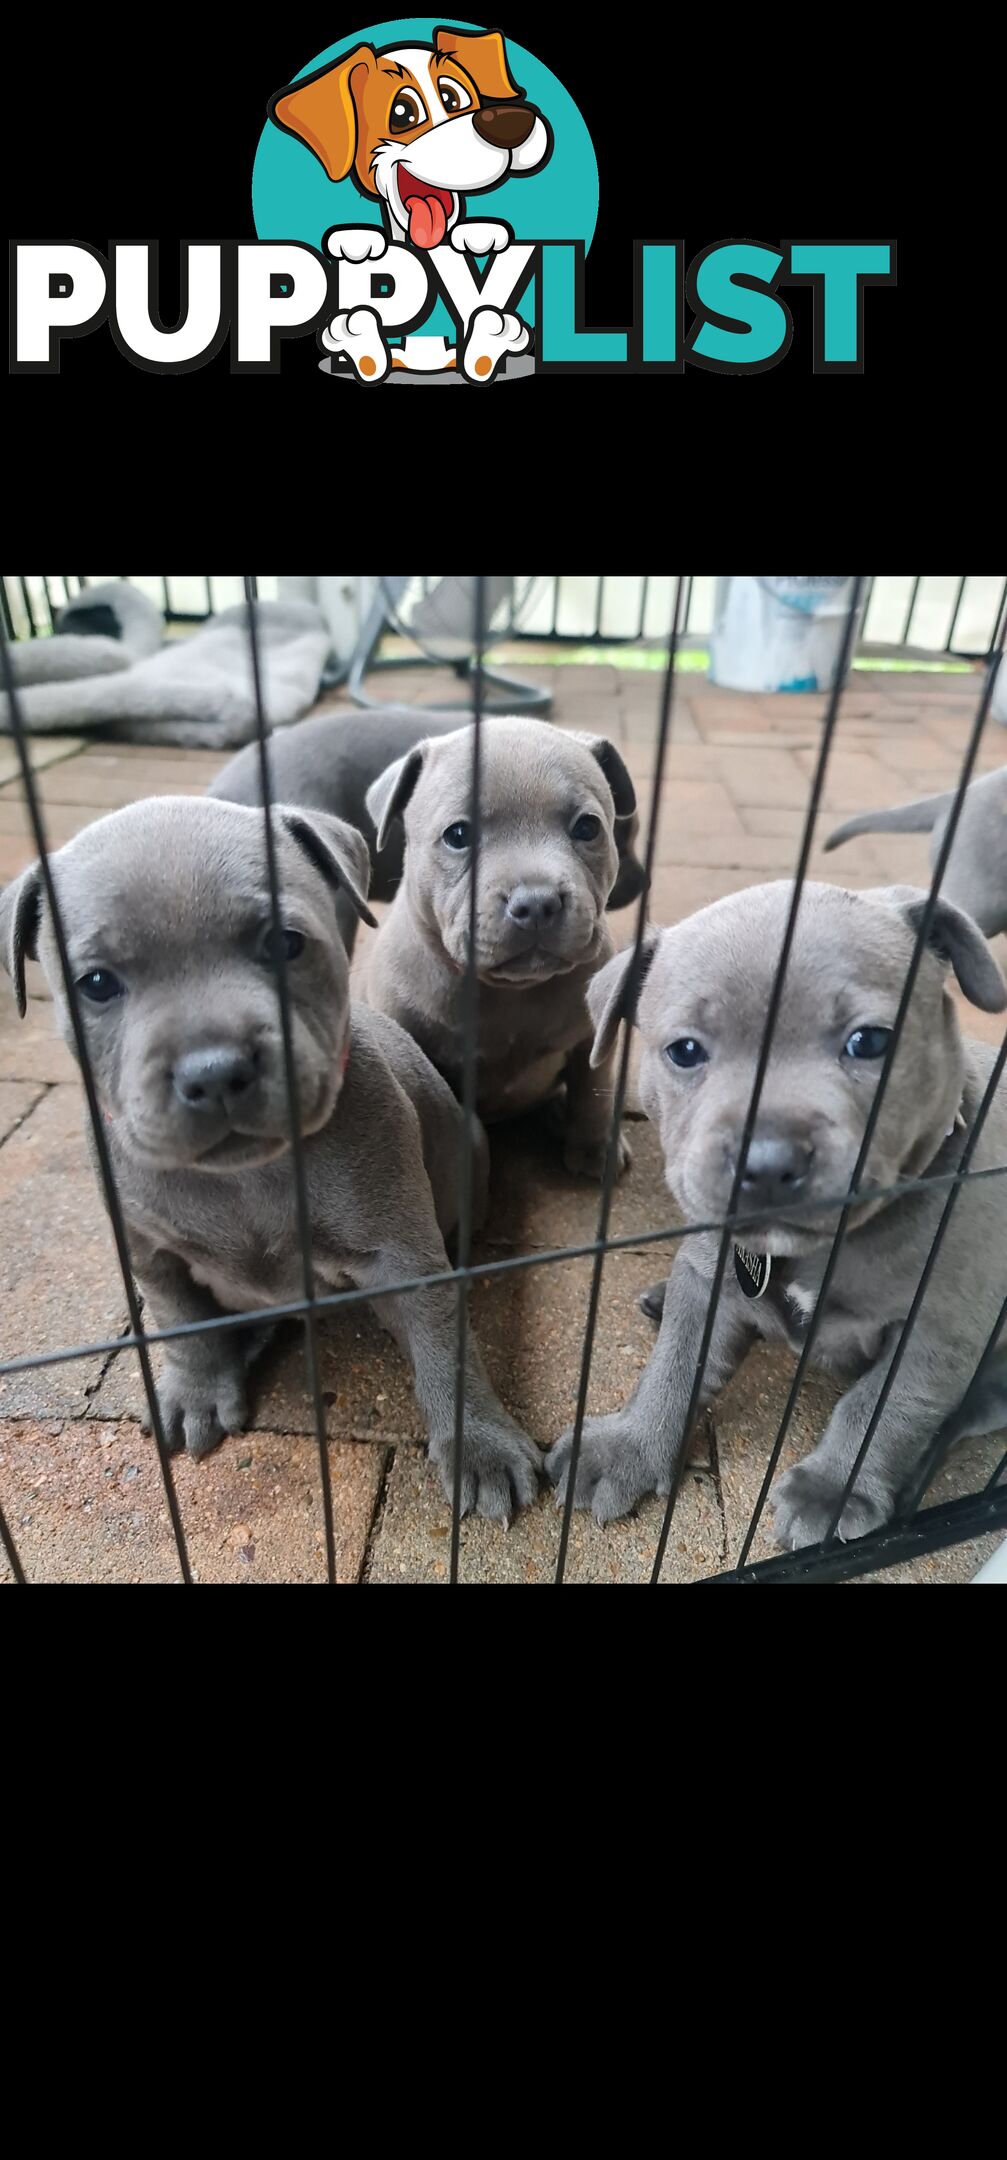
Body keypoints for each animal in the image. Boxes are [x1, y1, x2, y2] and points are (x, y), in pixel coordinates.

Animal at [0, 794, 542, 1520]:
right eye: (96, 984)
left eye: (286, 944)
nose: (213, 1070)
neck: (242, 1177)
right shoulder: (149, 1254)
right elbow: (181, 1323)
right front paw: (198, 1389)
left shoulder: (403, 1257)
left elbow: (444, 1346)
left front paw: (479, 1443)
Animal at [358, 712, 635, 1183]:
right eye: (457, 835)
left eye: (587, 827)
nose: (538, 902)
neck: (512, 993)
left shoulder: (592, 1039)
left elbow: (593, 1092)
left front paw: (595, 1150)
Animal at [546, 881, 1007, 1555]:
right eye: (685, 1051)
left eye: (870, 1042)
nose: (766, 1162)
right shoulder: (710, 1277)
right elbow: (675, 1364)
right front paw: (631, 1445)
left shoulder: (937, 1331)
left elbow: (884, 1407)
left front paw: (834, 1490)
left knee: (974, 1407)